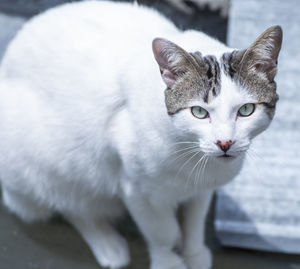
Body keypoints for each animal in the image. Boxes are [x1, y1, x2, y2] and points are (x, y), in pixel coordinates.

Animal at [0, 1, 282, 266]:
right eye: (199, 112)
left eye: (246, 110)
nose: (225, 142)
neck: (191, 157)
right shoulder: (136, 191)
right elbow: (162, 231)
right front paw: (169, 261)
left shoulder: (202, 190)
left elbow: (194, 222)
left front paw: (193, 254)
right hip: (46, 167)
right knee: (71, 204)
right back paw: (108, 244)